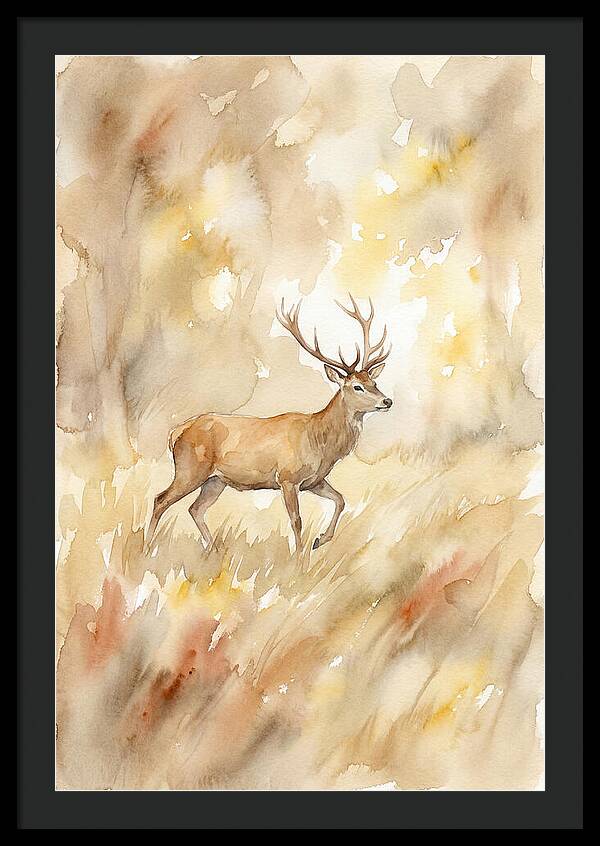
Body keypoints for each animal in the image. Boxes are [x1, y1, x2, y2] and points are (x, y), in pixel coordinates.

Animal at [146, 295, 392, 553]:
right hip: (190, 469)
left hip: (215, 480)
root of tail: (175, 432)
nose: (387, 401)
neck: (320, 443)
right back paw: (148, 546)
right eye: (357, 386)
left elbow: (341, 499)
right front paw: (299, 556)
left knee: (195, 509)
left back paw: (212, 549)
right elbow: (296, 520)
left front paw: (320, 540)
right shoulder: (287, 477)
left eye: (374, 382)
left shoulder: (314, 481)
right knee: (160, 499)